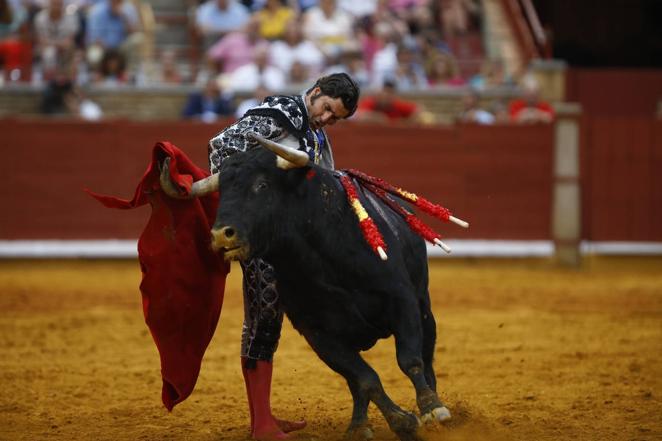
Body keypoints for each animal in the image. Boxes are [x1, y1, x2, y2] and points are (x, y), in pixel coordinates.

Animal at [213, 149, 452, 440]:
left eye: (262, 185)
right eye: (222, 191)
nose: (221, 235)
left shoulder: (402, 301)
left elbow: (410, 360)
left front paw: (430, 408)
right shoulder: (319, 335)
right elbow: (364, 379)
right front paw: (401, 421)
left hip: (423, 305)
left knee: (427, 353)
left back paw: (435, 408)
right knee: (355, 382)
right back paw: (358, 426)